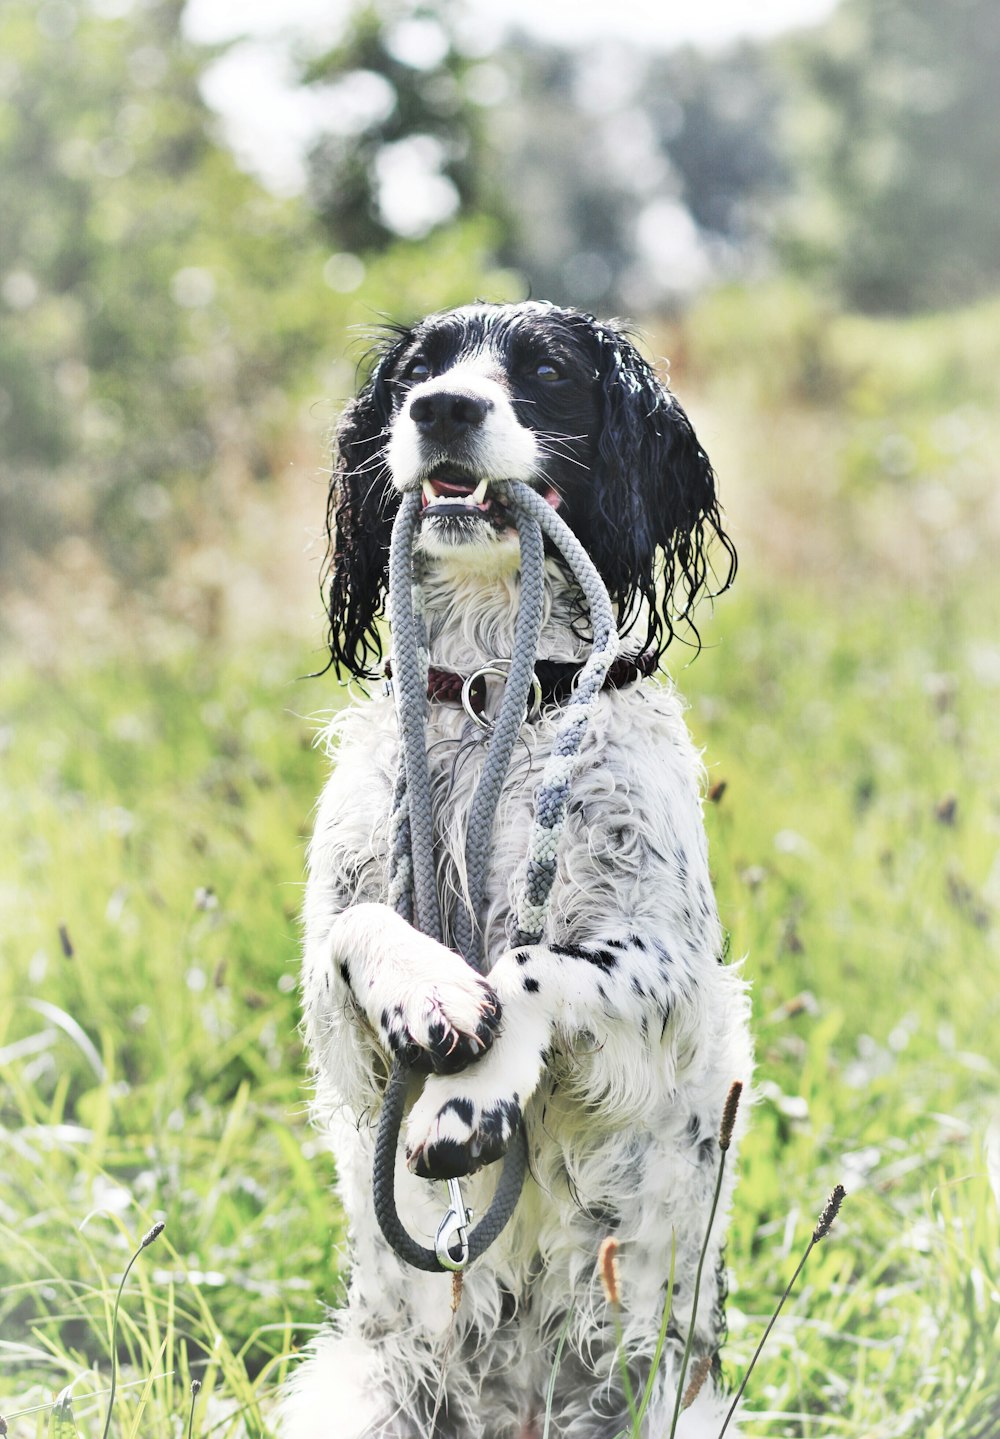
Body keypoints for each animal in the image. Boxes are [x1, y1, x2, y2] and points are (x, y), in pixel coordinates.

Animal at [279, 303, 748, 1439]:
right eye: (419, 368)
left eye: (544, 371)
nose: (442, 408)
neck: (495, 690)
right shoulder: (335, 1014)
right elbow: (364, 932)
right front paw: (429, 990)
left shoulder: (667, 983)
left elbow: (537, 965)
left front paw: (466, 1100)